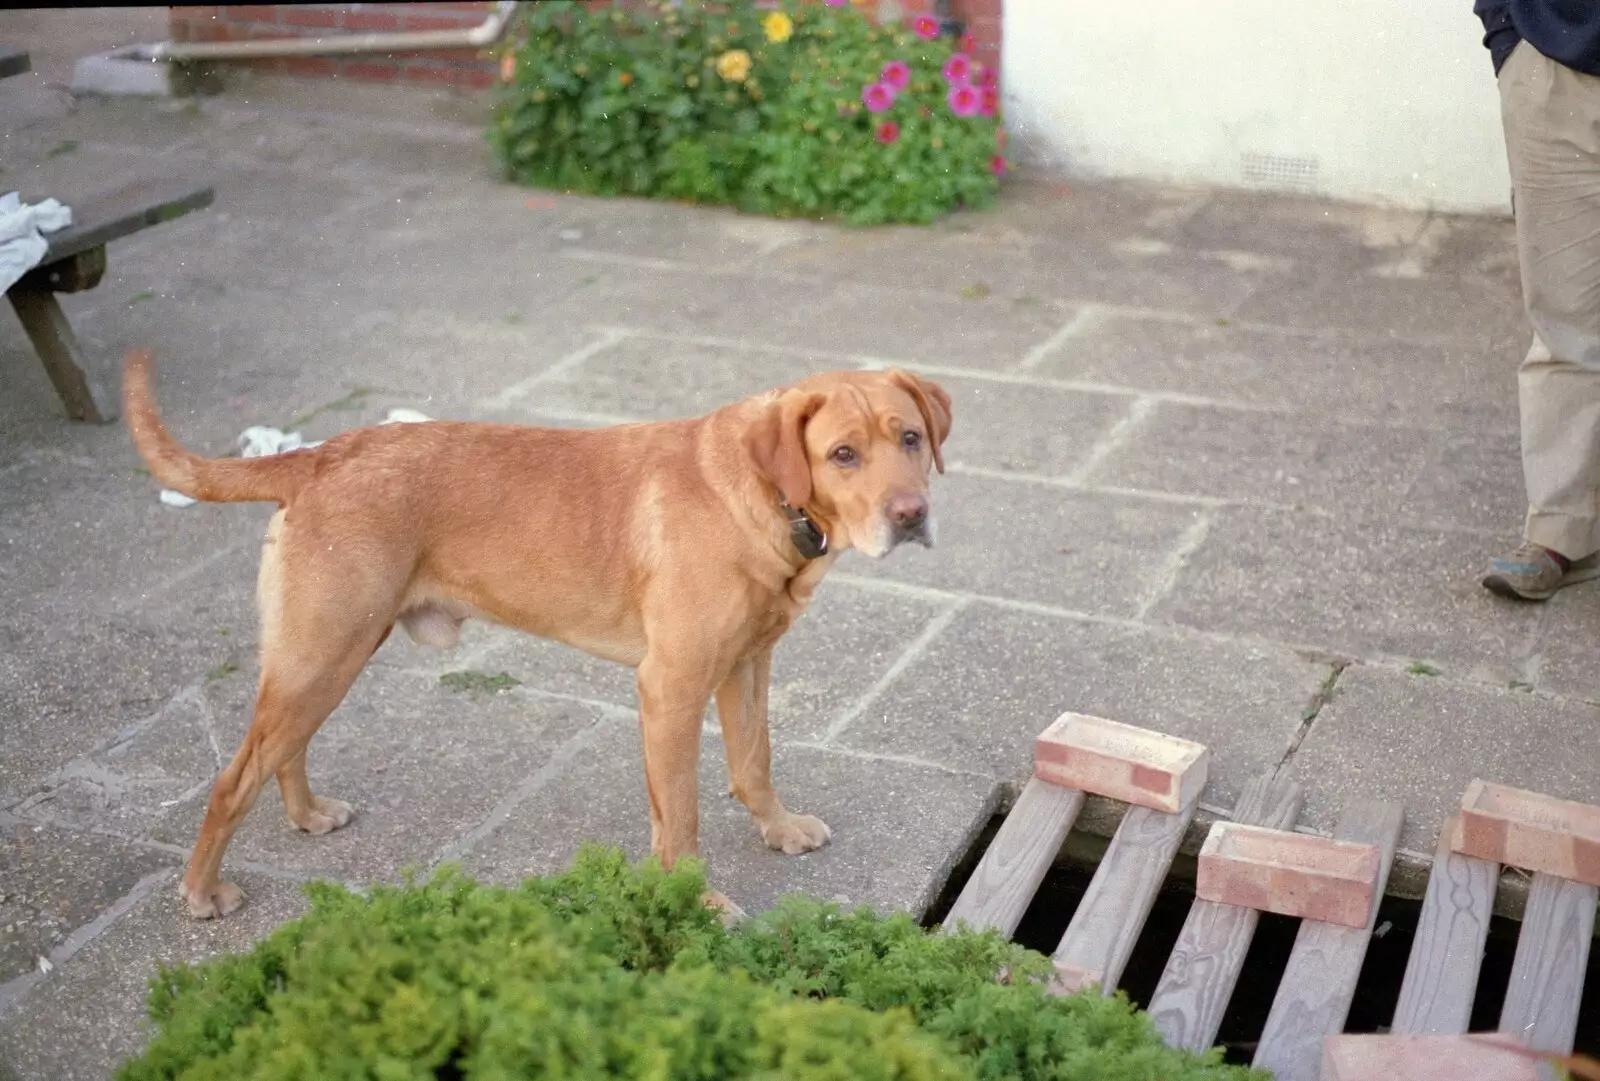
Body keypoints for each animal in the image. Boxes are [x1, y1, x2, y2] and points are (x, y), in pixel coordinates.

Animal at [128, 350, 947, 914]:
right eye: (843, 453)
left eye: (910, 438)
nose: (911, 515)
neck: (767, 495)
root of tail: (316, 456)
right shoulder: (671, 687)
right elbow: (680, 821)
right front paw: (698, 904)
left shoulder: (746, 665)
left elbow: (754, 762)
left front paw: (777, 828)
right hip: (323, 654)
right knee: (233, 779)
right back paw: (202, 890)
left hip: (328, 656)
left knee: (284, 752)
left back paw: (304, 816)